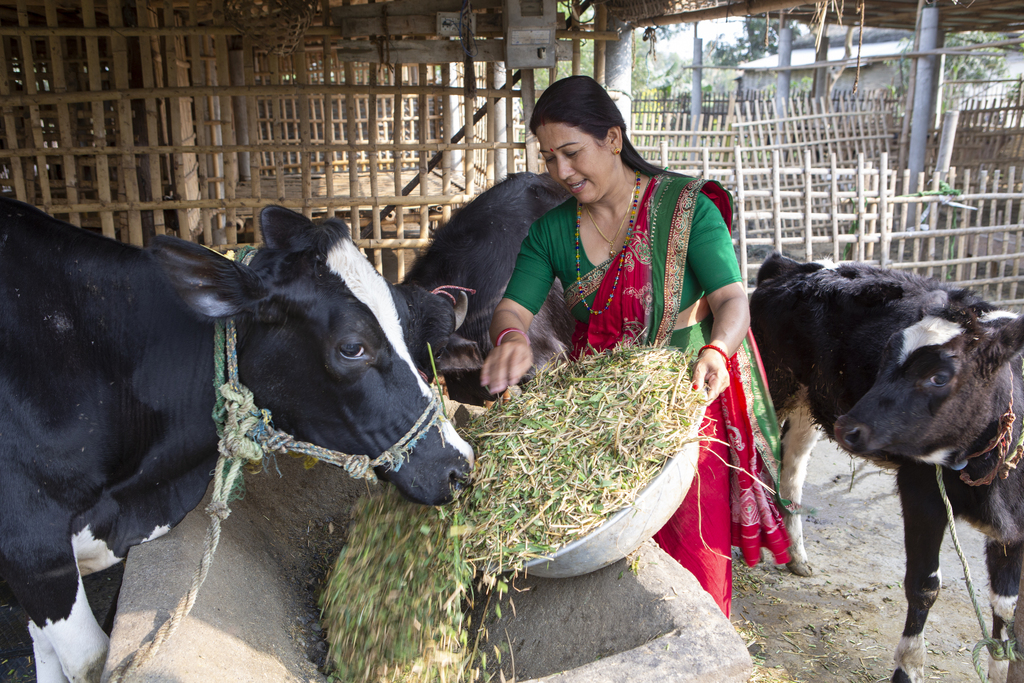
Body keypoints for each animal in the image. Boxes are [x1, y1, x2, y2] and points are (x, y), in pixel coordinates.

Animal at [749, 253, 1024, 683]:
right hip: (770, 387)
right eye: (884, 358)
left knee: (789, 472)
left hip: (807, 405)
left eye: (939, 376)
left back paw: (796, 555)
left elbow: (1005, 605)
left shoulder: (1013, 527)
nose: (848, 426)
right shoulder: (921, 493)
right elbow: (924, 584)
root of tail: (790, 264)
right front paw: (907, 668)